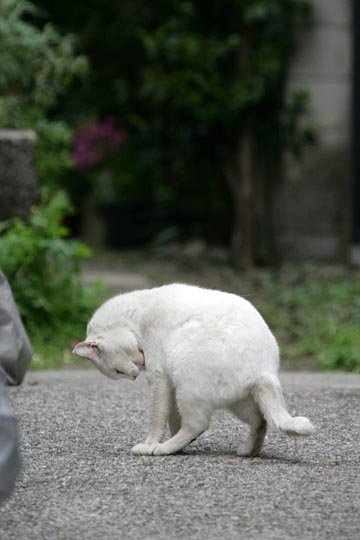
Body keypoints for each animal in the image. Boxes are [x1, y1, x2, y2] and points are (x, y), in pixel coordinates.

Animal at [74, 282, 316, 456]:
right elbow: (171, 417)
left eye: (117, 372)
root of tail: (264, 370)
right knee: (261, 420)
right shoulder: (168, 386)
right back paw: (247, 451)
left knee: (197, 424)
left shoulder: (159, 378)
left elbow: (156, 418)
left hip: (187, 380)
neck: (136, 318)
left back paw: (161, 449)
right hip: (240, 401)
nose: (134, 376)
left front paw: (150, 443)